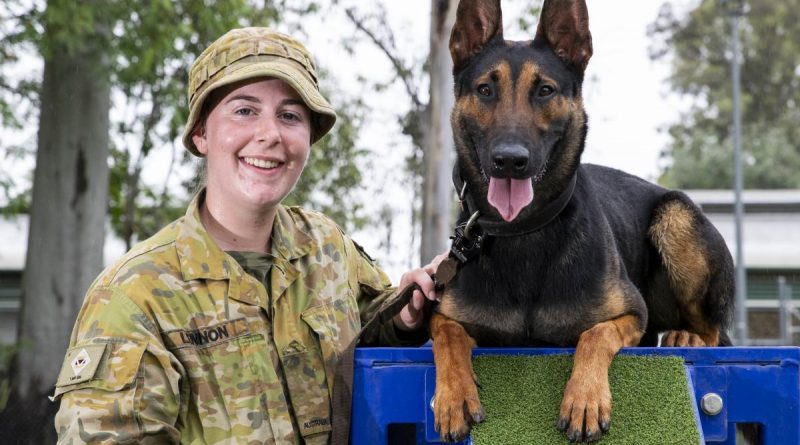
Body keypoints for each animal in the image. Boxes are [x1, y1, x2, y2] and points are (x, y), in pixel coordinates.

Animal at [428, 1, 736, 442]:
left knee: (712, 332)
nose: (510, 160)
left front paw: (584, 398)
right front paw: (455, 395)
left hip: (675, 219)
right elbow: (447, 334)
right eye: (485, 89)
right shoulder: (445, 316)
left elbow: (595, 334)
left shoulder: (631, 315)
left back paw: (686, 335)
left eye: (545, 90)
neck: (525, 231)